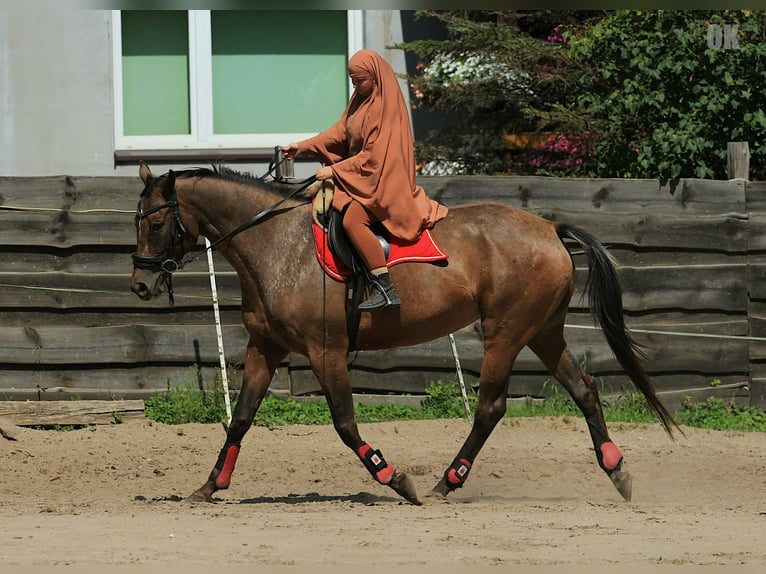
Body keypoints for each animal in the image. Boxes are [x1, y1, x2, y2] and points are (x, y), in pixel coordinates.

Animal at [130, 161, 677, 505]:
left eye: (155, 226)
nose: (139, 283)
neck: (277, 244)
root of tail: (548, 228)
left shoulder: (326, 351)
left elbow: (345, 424)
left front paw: (394, 479)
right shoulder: (265, 347)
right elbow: (240, 419)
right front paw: (209, 486)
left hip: (505, 333)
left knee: (491, 407)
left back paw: (446, 483)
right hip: (542, 332)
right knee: (584, 389)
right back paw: (616, 470)